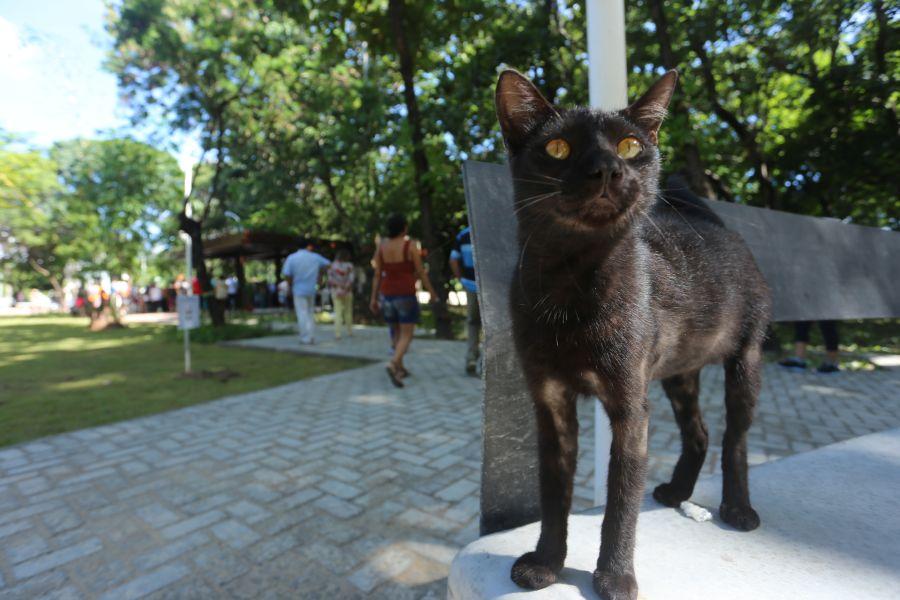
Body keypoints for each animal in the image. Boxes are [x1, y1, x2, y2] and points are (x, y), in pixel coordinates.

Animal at [496, 68, 768, 596]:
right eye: (557, 147)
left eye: (628, 146)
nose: (606, 169)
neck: (570, 284)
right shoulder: (551, 404)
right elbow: (554, 495)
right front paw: (546, 562)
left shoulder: (629, 406)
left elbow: (620, 503)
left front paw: (616, 576)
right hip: (679, 374)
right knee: (699, 432)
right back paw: (678, 490)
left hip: (745, 360)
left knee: (734, 439)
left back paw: (738, 507)